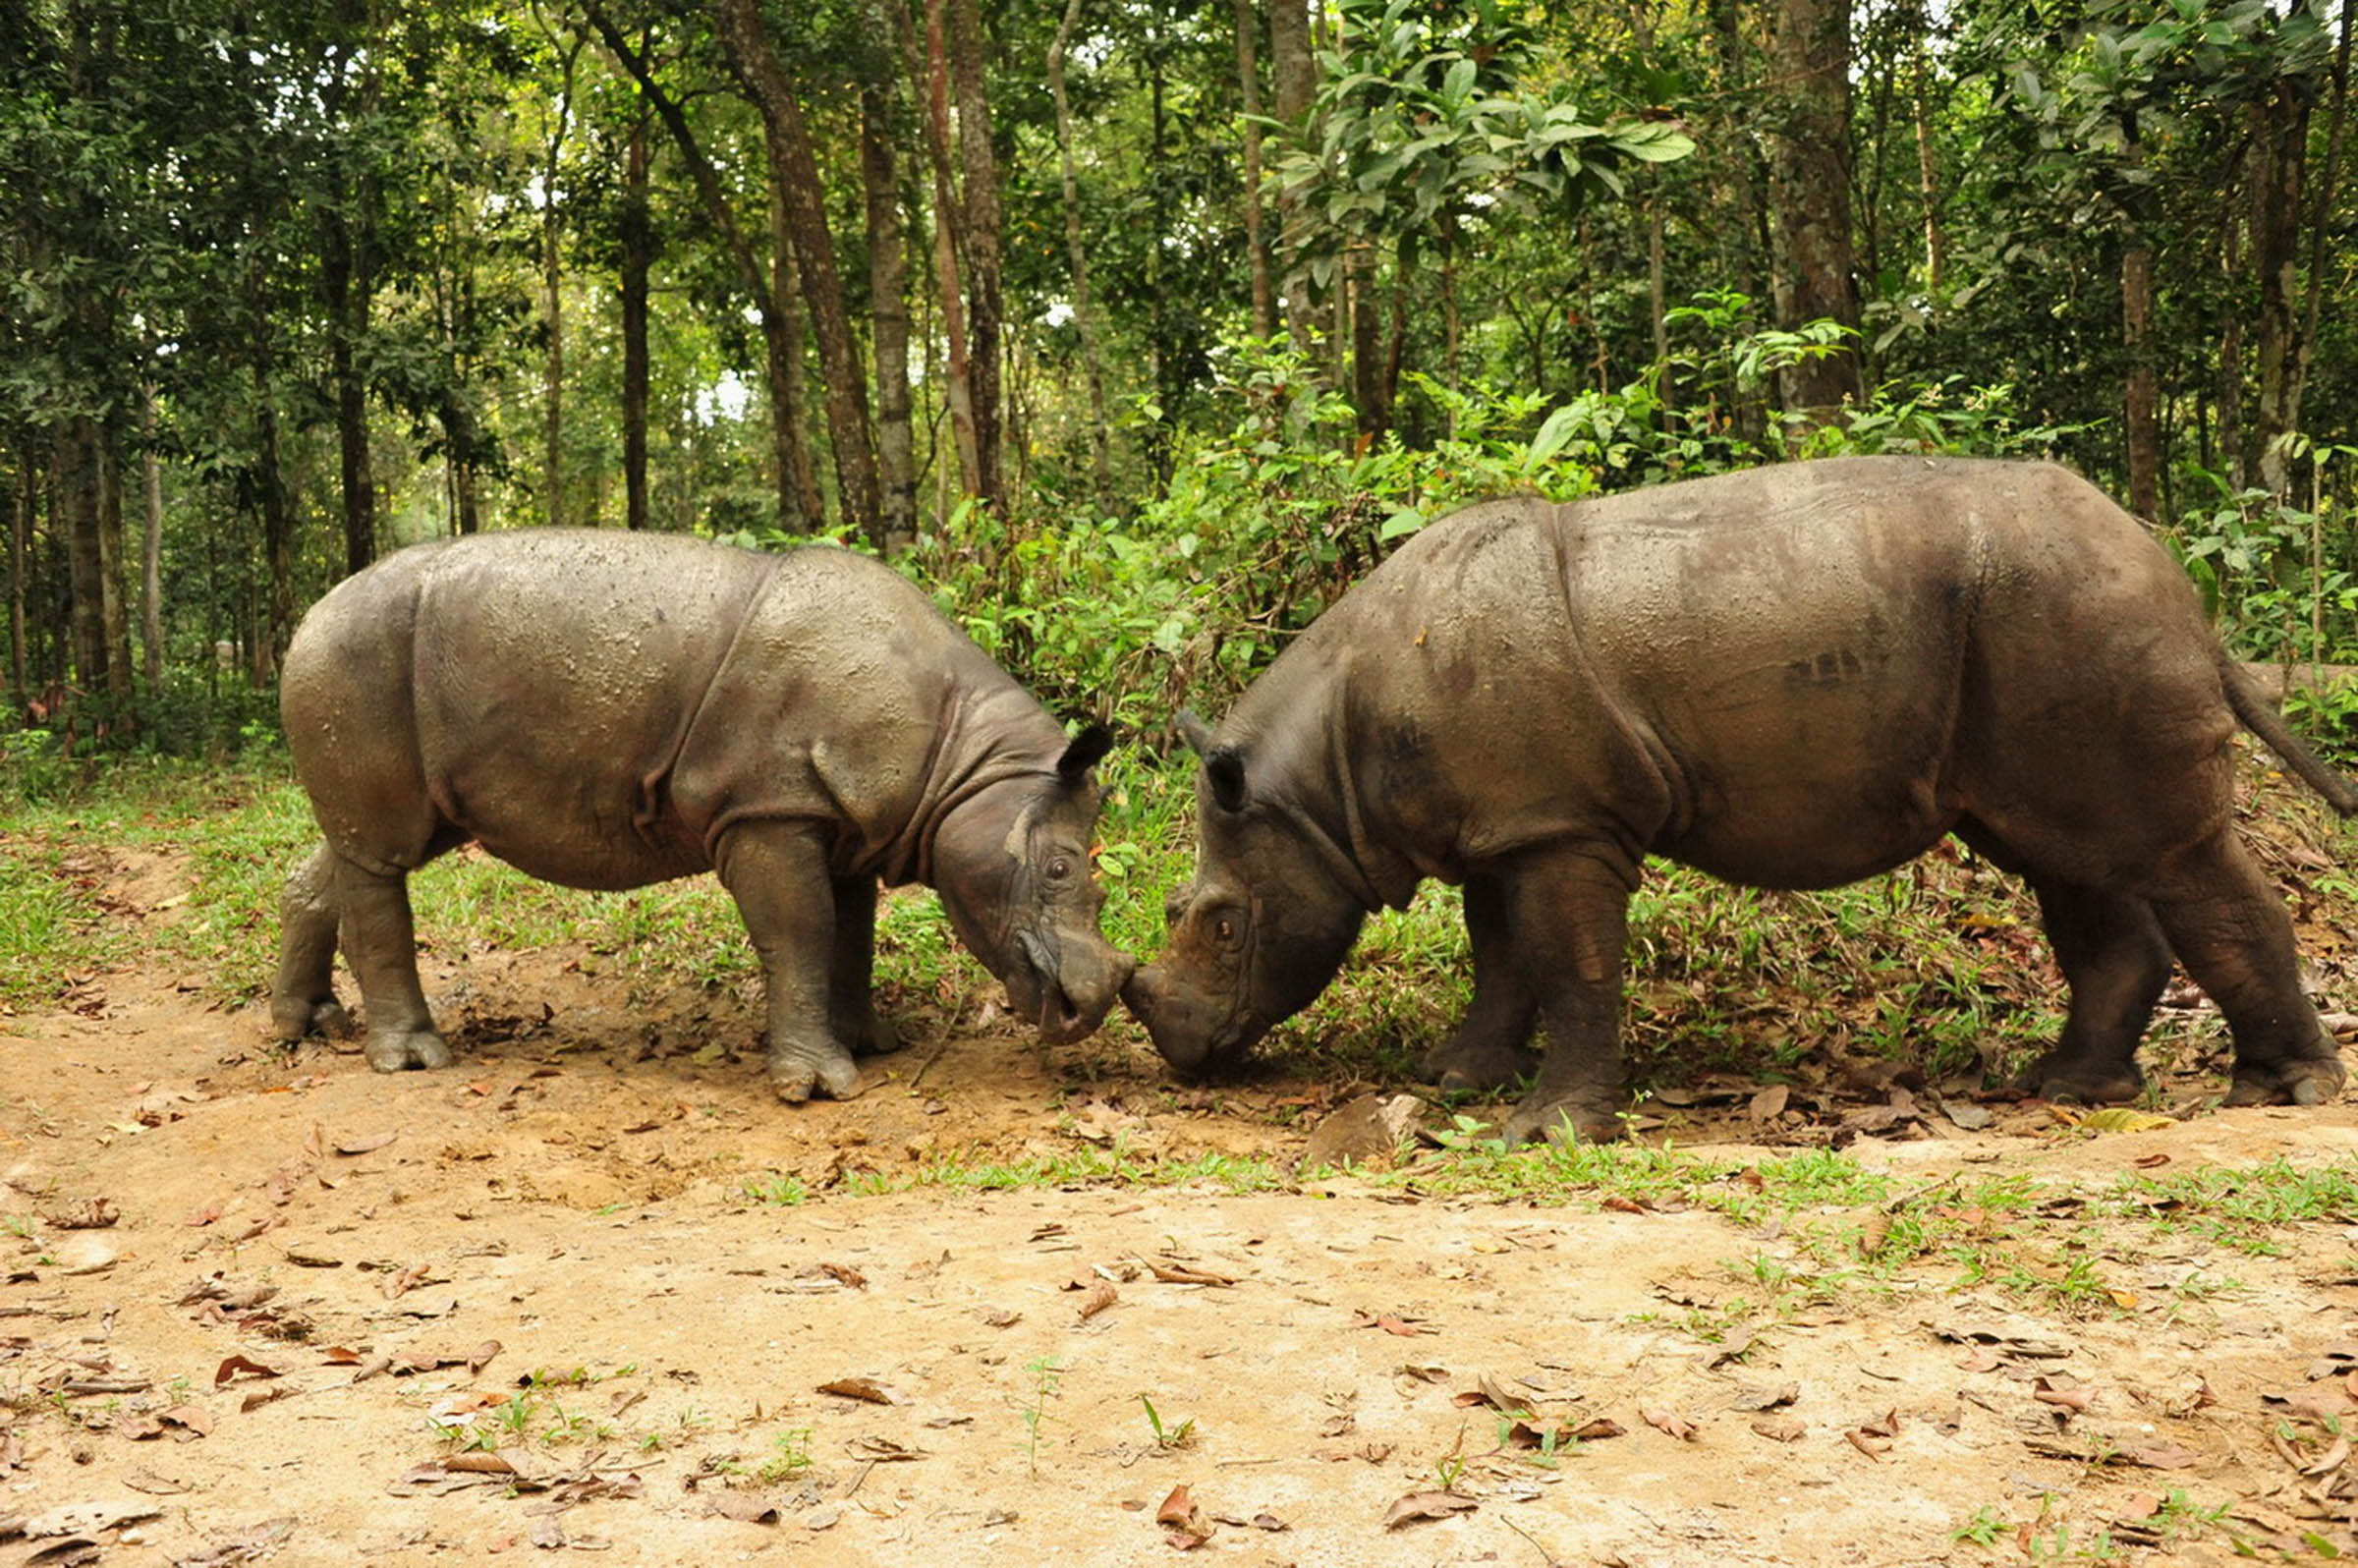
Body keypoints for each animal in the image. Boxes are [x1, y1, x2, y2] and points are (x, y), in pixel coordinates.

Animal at [270, 528, 1132, 1101]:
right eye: (1059, 869)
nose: (1092, 1002)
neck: (964, 769)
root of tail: (306, 617)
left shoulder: (845, 816)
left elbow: (851, 934)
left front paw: (871, 1047)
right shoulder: (764, 808)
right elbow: (802, 931)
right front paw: (818, 1087)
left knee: (362, 845)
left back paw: (306, 1028)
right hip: (355, 658)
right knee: (382, 854)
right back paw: (415, 1062)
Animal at [1123, 457, 2355, 1141]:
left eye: (1220, 923)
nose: (1177, 1051)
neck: (1317, 785)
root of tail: (2181, 586)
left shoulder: (1564, 825)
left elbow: (1567, 962)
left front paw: (1551, 1131)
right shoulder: (1509, 819)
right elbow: (1500, 959)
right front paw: (1458, 1078)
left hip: (2075, 615)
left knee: (2167, 854)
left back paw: (2277, 1098)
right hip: (2045, 631)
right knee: (2071, 859)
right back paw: (2064, 1089)